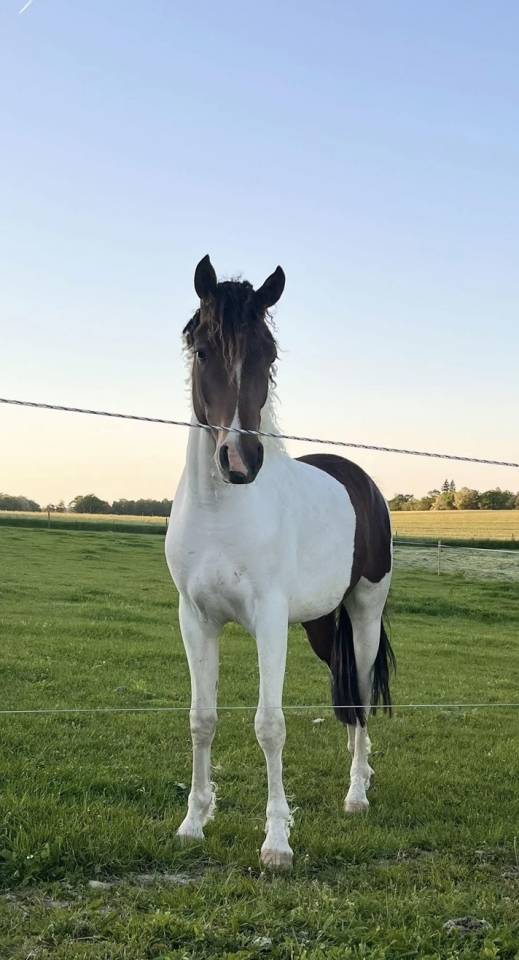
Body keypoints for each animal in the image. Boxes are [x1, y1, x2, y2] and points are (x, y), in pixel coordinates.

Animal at [165, 255, 395, 869]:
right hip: (319, 624)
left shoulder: (268, 621)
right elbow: (202, 719)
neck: (223, 511)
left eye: (267, 354)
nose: (241, 460)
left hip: (363, 612)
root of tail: (359, 479)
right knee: (347, 696)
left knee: (362, 694)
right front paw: (193, 823)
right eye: (202, 350)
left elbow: (269, 725)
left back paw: (357, 792)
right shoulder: (195, 620)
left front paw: (276, 841)